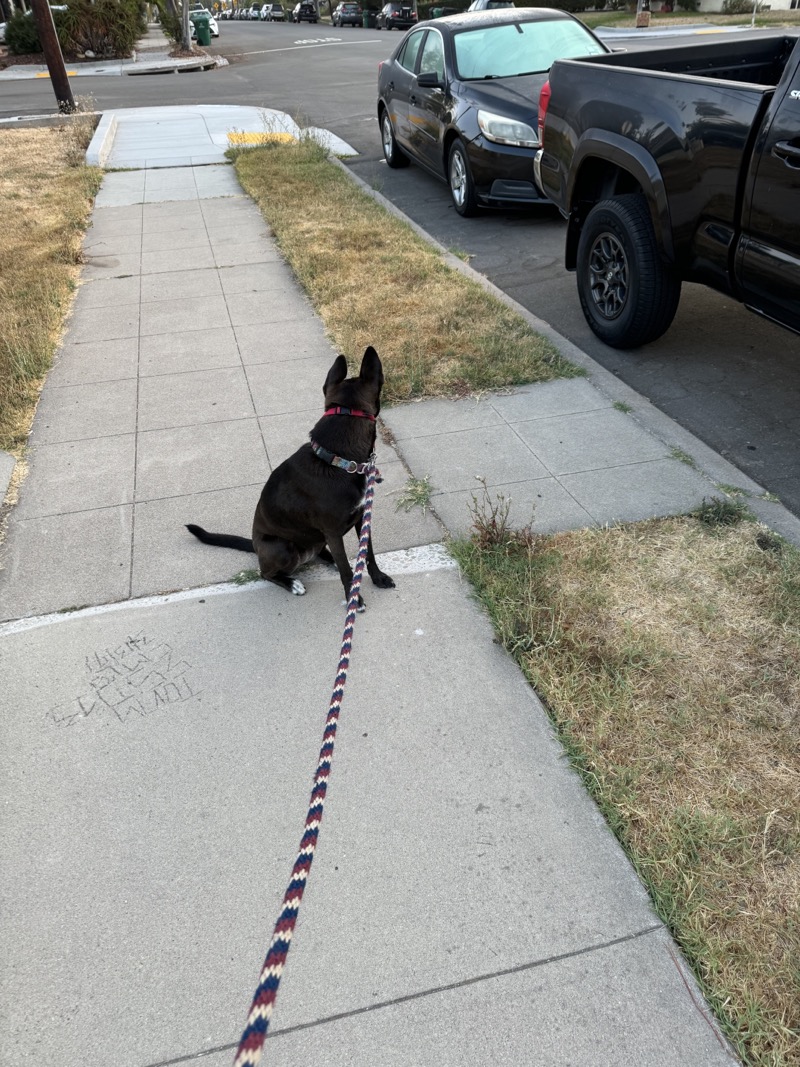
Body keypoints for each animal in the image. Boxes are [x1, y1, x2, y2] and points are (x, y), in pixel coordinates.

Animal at [188, 345, 401, 606]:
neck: (337, 460)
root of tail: (255, 546)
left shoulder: (362, 517)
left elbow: (367, 553)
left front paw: (378, 577)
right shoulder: (333, 531)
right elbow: (346, 569)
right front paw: (353, 596)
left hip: (316, 539)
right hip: (282, 549)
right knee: (265, 573)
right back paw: (292, 583)